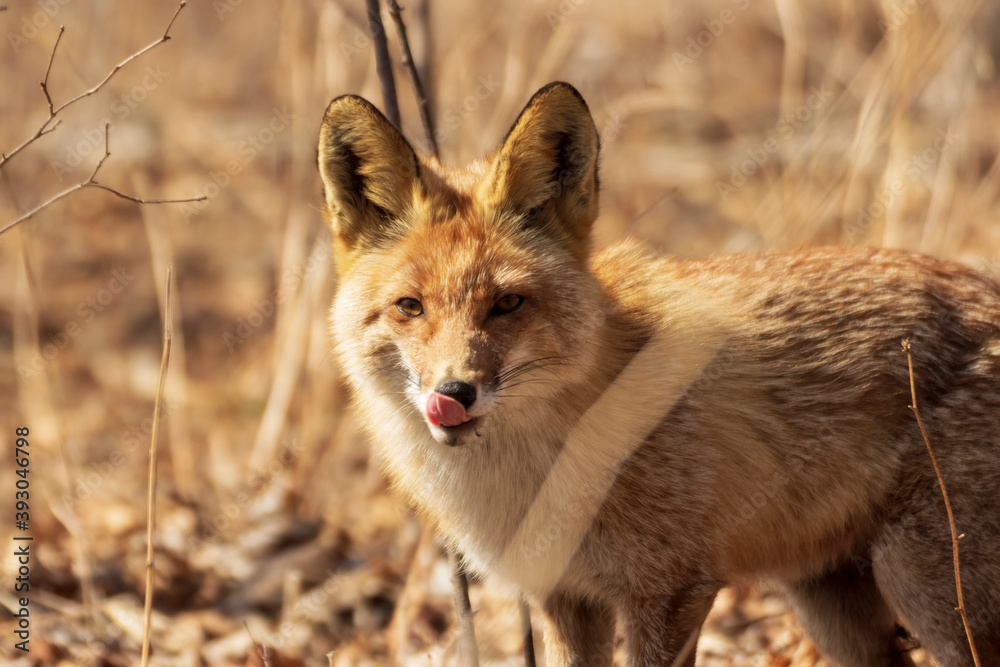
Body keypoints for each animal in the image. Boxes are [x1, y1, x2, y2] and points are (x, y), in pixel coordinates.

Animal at [317, 81, 1000, 667]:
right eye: (411, 307)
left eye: (507, 303)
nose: (454, 393)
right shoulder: (566, 595)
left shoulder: (673, 589)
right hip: (833, 605)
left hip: (934, 595)